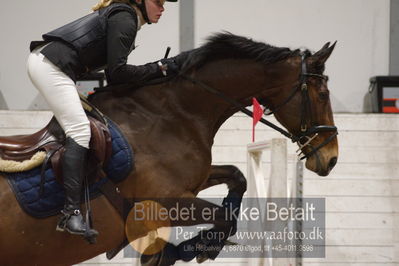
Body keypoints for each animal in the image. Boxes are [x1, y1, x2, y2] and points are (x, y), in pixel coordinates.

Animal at [0, 33, 338, 266]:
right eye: (323, 94)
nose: (331, 158)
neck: (174, 113)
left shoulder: (193, 184)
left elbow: (237, 178)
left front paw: (200, 244)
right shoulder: (165, 202)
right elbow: (221, 218)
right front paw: (191, 248)